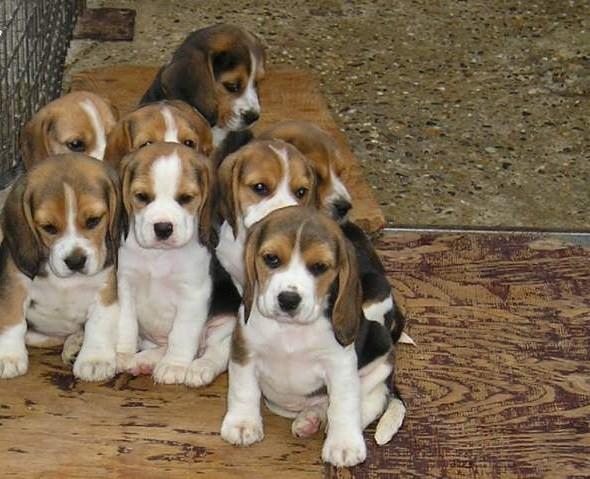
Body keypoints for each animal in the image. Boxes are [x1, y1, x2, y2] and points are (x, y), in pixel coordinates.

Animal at [0, 157, 122, 382]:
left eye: (94, 220)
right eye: (48, 227)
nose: (75, 261)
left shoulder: (105, 290)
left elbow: (98, 324)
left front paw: (95, 360)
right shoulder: (14, 287)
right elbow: (12, 321)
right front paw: (8, 357)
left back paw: (76, 344)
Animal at [222, 207, 408, 468]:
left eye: (319, 266)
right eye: (272, 259)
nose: (288, 299)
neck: (289, 329)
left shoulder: (340, 365)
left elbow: (344, 404)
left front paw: (343, 445)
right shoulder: (245, 351)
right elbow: (243, 389)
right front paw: (242, 423)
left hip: (381, 353)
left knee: (371, 401)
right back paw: (311, 420)